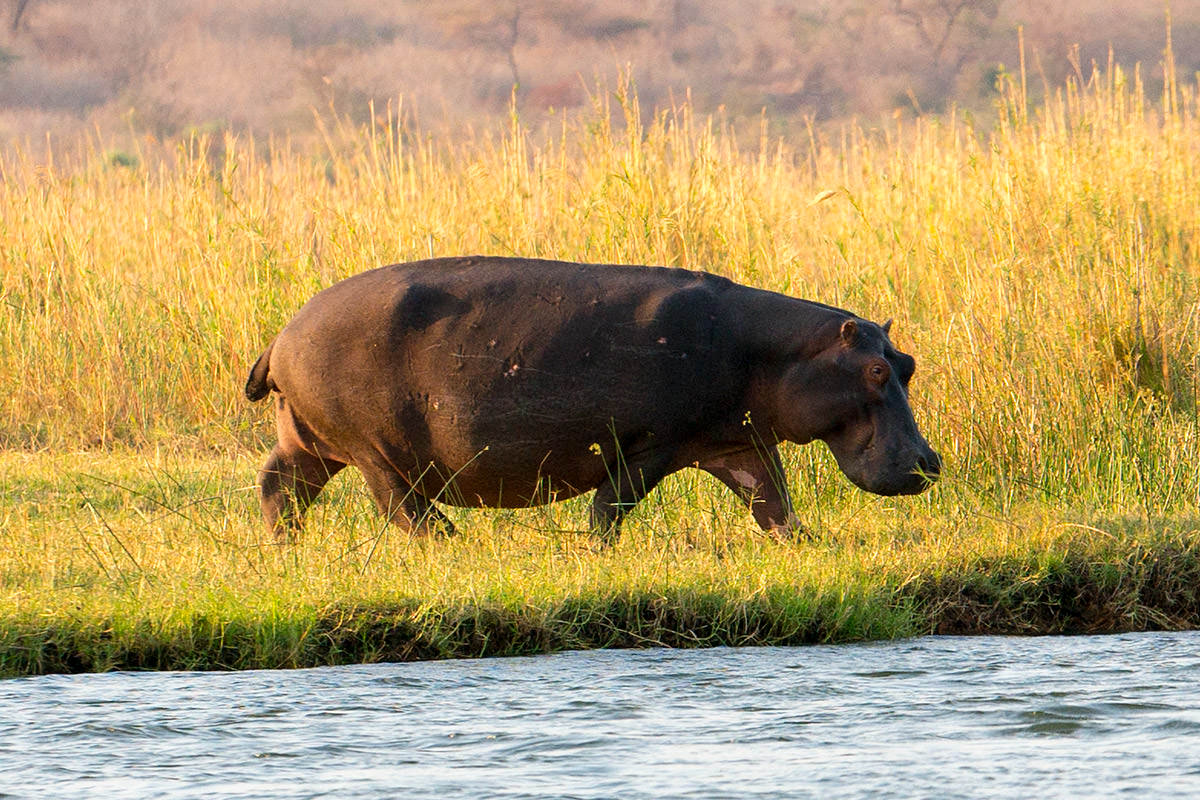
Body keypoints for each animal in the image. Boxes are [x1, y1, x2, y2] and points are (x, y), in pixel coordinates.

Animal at [243, 260, 936, 542]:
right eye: (876, 370)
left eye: (907, 363)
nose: (929, 463)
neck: (778, 350)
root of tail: (282, 334)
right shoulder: (652, 443)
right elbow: (612, 505)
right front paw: (597, 552)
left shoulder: (736, 441)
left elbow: (775, 506)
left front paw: (813, 546)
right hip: (372, 448)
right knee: (405, 510)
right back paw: (455, 548)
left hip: (309, 438)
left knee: (280, 485)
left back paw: (287, 552)